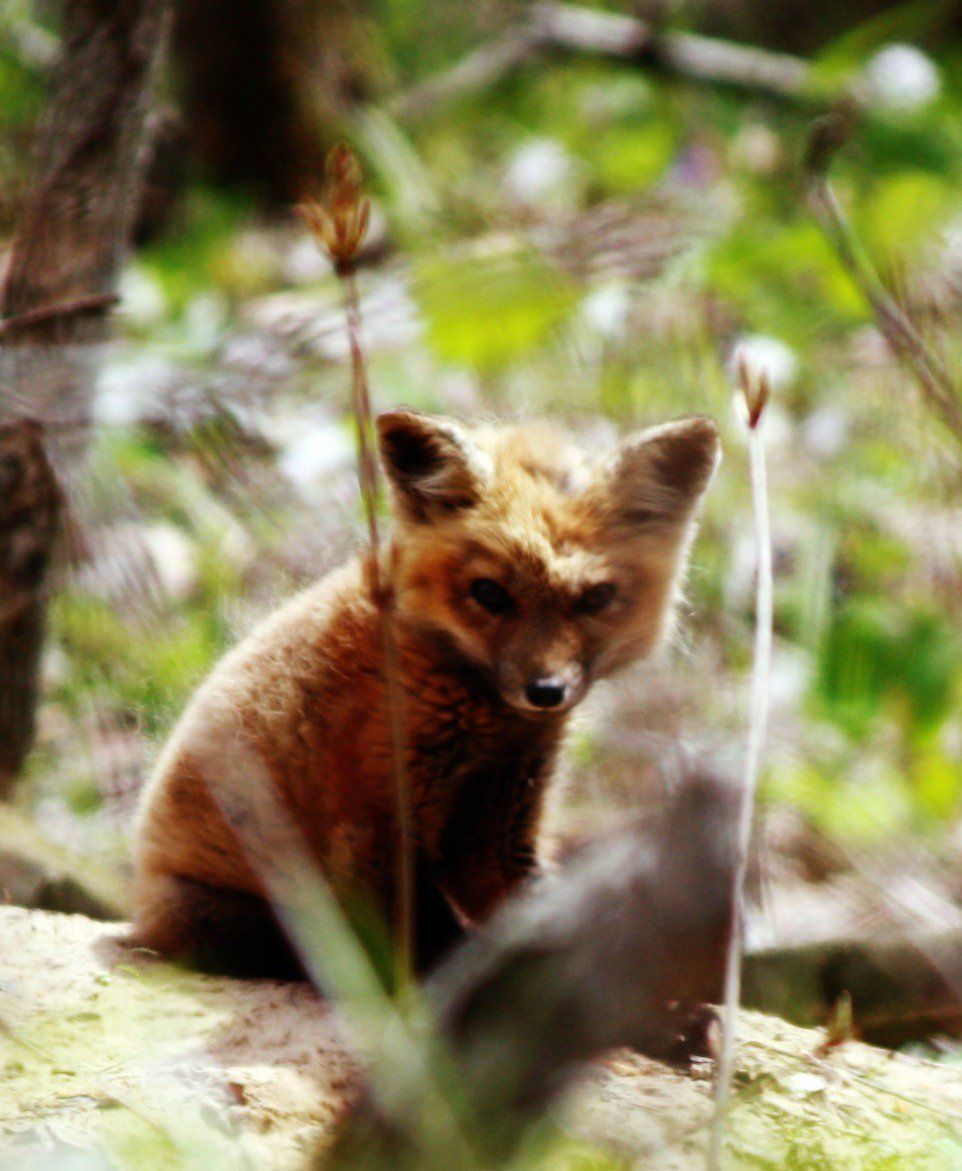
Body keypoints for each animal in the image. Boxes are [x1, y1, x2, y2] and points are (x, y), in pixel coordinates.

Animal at [132, 409, 721, 979]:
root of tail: (141, 907)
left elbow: (531, 920)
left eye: (596, 598)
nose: (546, 692)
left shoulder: (496, 825)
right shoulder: (377, 827)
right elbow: (431, 947)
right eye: (489, 593)